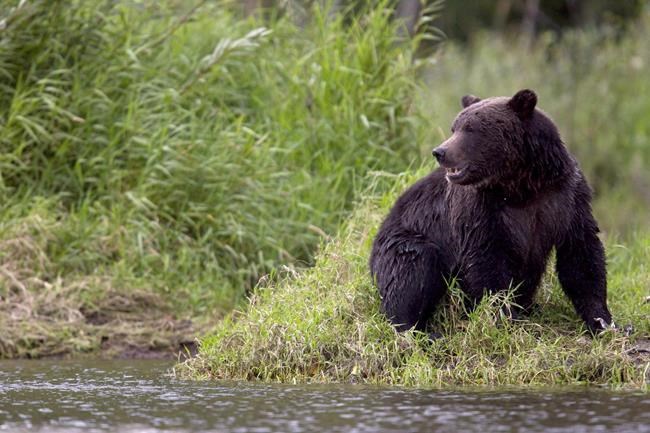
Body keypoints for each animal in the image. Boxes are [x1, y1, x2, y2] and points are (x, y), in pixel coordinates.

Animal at [370, 89, 612, 335]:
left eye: (470, 129)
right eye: (454, 127)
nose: (440, 151)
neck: (521, 185)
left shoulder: (565, 197)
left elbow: (581, 254)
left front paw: (602, 321)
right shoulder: (481, 208)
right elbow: (486, 261)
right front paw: (504, 317)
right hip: (404, 239)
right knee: (412, 269)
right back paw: (418, 330)